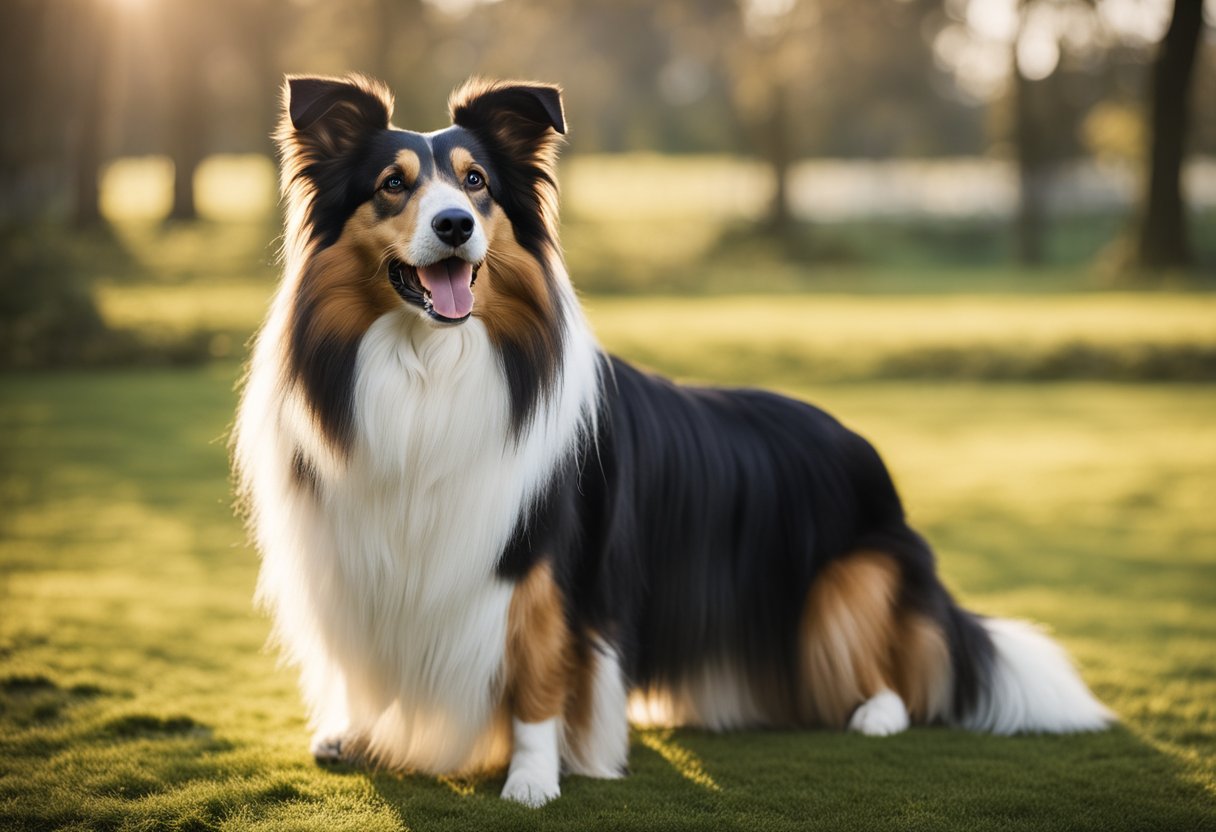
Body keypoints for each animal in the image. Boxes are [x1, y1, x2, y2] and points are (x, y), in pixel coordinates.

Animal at [232, 76, 1113, 807]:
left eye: (476, 184)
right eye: (393, 185)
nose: (453, 225)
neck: (428, 367)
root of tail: (860, 444)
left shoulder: (545, 570)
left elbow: (536, 679)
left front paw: (532, 778)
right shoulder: (360, 556)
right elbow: (366, 663)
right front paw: (356, 729)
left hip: (847, 585)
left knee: (890, 665)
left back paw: (877, 715)